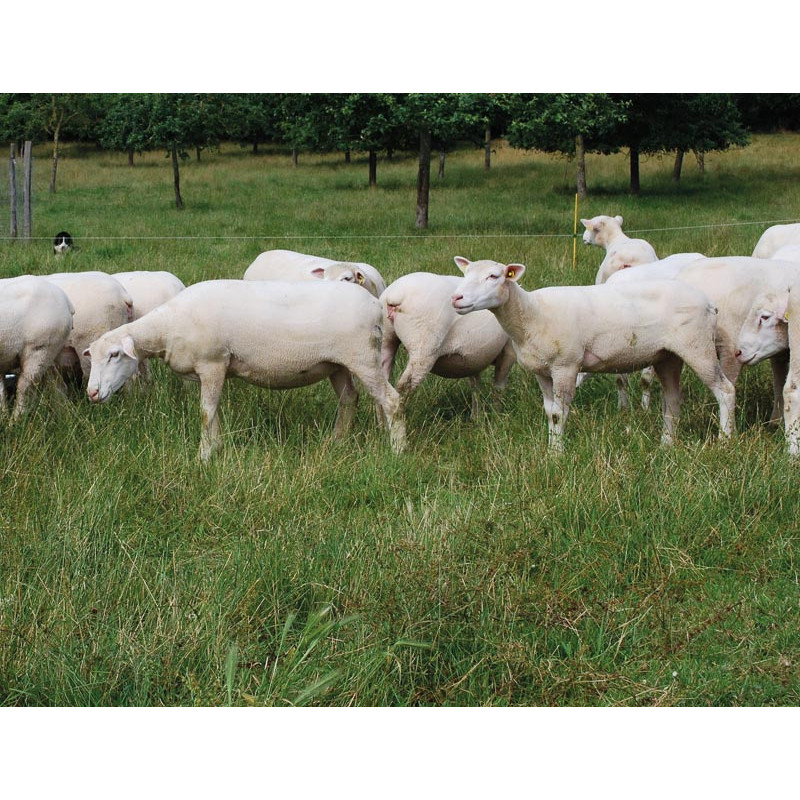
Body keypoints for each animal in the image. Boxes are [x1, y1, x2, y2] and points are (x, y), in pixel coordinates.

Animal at [0, 275, 75, 422]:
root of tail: (65, 300)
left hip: (38, 350)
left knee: (24, 389)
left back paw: (15, 422)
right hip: (48, 352)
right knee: (58, 387)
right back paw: (64, 417)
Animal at [83, 279, 406, 460]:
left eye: (114, 355)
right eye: (93, 358)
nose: (92, 393)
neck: (167, 327)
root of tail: (376, 305)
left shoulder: (212, 362)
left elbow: (205, 411)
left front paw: (203, 456)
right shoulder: (213, 369)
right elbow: (213, 412)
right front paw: (216, 448)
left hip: (362, 357)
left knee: (392, 400)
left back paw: (398, 451)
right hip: (337, 364)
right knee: (349, 398)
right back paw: (337, 442)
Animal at [380, 272, 516, 419]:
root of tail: (395, 295)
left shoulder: (473, 359)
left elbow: (475, 386)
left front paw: (476, 417)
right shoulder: (508, 352)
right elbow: (499, 387)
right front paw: (498, 416)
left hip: (386, 339)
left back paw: (381, 424)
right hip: (423, 348)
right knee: (403, 388)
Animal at [450, 257, 735, 452]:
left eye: (494, 276)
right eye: (465, 274)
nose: (456, 298)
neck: (531, 314)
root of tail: (710, 304)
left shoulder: (566, 365)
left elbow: (558, 413)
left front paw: (557, 454)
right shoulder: (542, 371)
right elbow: (549, 412)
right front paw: (550, 448)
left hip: (697, 346)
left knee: (725, 390)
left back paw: (725, 440)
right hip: (667, 356)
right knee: (673, 400)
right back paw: (666, 444)